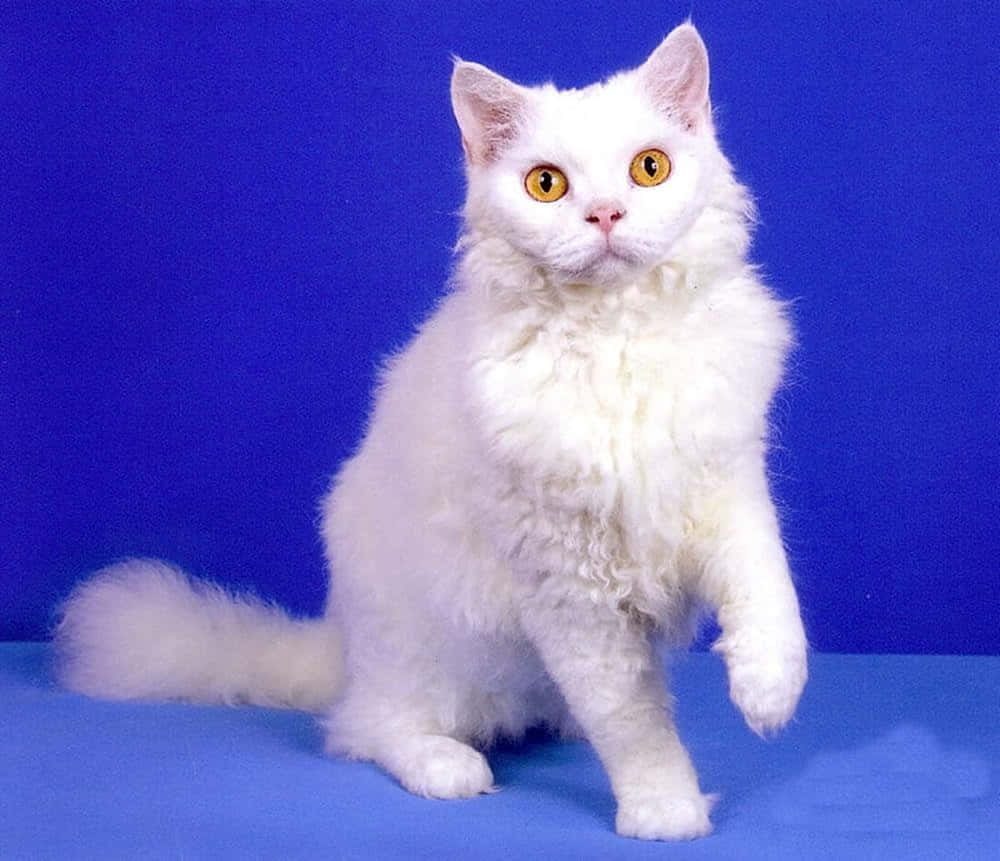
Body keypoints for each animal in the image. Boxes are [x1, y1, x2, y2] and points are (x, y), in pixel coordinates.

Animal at [54, 25, 808, 840]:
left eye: (650, 169)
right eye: (547, 185)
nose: (606, 215)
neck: (619, 338)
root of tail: (344, 652)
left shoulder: (727, 488)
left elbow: (767, 589)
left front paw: (769, 691)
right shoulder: (568, 586)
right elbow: (631, 717)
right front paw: (663, 805)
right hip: (425, 659)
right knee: (367, 731)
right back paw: (449, 766)